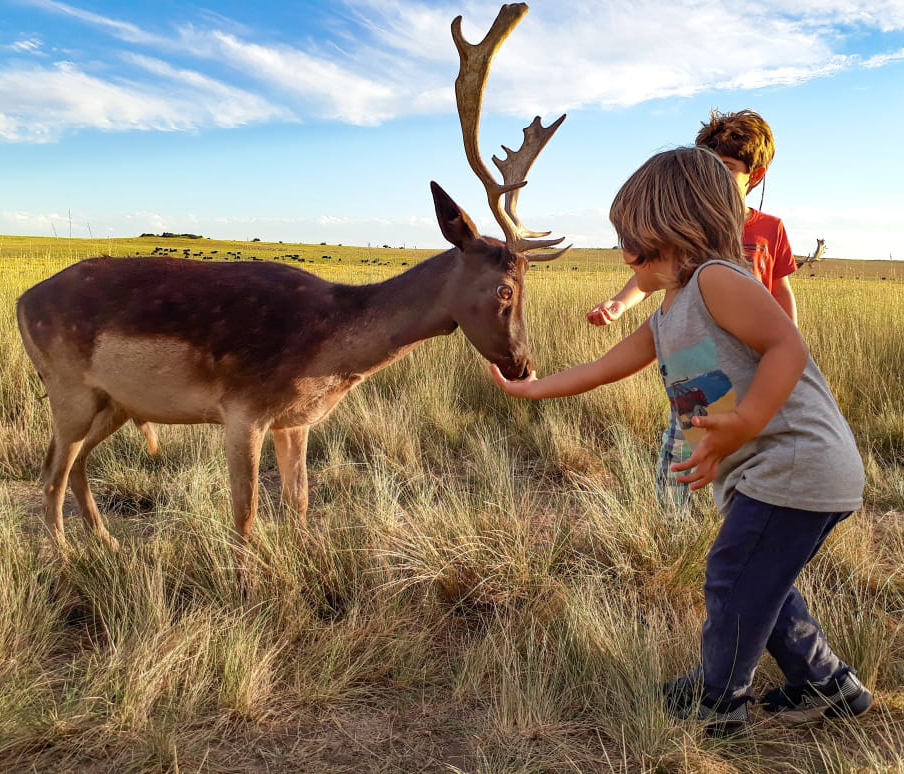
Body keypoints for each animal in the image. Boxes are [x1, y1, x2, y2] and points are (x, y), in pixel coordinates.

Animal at [14, 3, 564, 568]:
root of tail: (22, 301)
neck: (328, 350)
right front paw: (245, 579)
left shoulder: (295, 422)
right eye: (504, 289)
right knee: (51, 473)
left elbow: (299, 502)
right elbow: (246, 513)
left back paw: (107, 541)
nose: (522, 365)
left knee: (75, 463)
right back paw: (63, 555)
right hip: (68, 387)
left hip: (114, 402)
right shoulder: (242, 410)